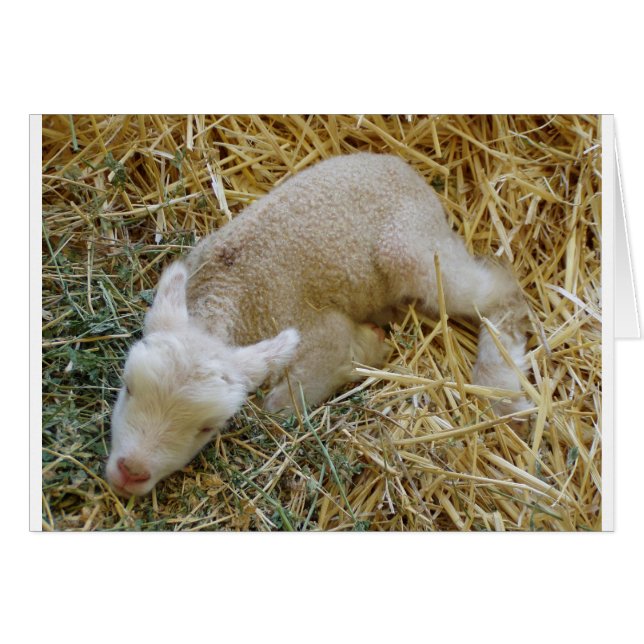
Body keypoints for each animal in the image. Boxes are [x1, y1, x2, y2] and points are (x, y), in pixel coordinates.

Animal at [105, 152, 529, 497]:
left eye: (208, 428)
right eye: (127, 387)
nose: (131, 472)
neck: (232, 294)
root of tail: (407, 170)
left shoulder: (317, 334)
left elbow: (282, 402)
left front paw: (369, 348)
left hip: (416, 252)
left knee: (501, 290)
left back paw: (502, 387)